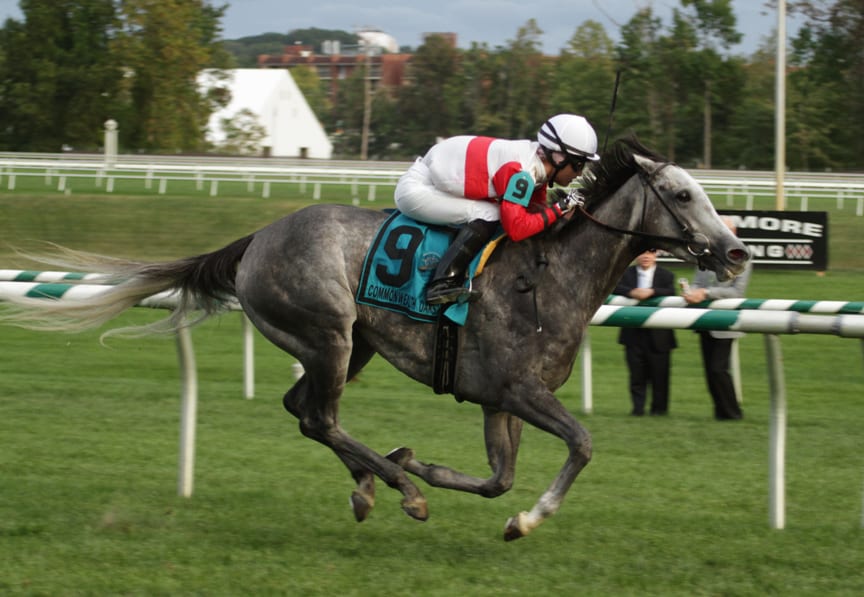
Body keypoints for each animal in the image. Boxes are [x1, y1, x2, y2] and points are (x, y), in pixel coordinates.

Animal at [0, 139, 748, 540]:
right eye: (683, 194)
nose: (737, 250)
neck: (549, 274)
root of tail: (257, 238)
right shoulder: (518, 389)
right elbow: (580, 446)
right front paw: (522, 519)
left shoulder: (496, 399)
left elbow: (498, 479)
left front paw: (429, 467)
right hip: (327, 331)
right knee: (320, 416)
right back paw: (394, 486)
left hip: (343, 344)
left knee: (302, 410)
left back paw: (372, 481)